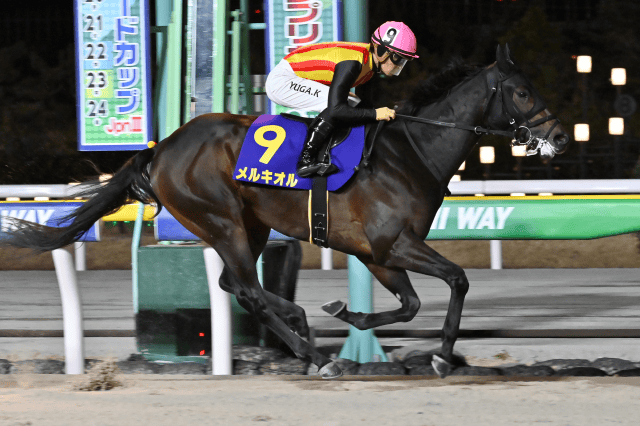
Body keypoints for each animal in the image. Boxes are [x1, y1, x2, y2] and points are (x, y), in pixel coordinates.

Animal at [2, 45, 570, 378]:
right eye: (522, 92)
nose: (561, 138)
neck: (412, 150)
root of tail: (161, 147)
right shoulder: (394, 243)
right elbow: (458, 279)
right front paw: (438, 354)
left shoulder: (380, 253)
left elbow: (409, 305)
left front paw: (350, 314)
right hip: (222, 221)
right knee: (248, 290)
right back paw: (312, 349)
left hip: (248, 225)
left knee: (235, 286)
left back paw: (303, 335)